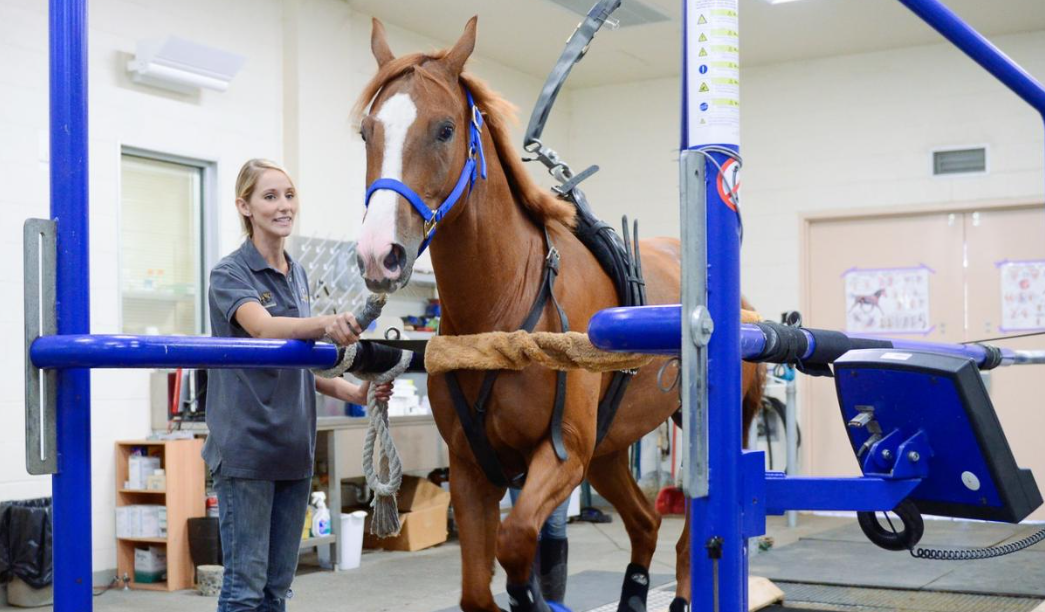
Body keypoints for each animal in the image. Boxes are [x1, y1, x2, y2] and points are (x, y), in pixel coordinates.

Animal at [352, 17, 765, 612]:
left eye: (445, 129)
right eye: (367, 132)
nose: (377, 253)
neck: (500, 310)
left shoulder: (563, 454)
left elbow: (517, 538)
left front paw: (530, 595)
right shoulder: (471, 470)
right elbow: (478, 588)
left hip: (697, 435)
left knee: (693, 537)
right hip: (610, 449)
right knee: (644, 523)